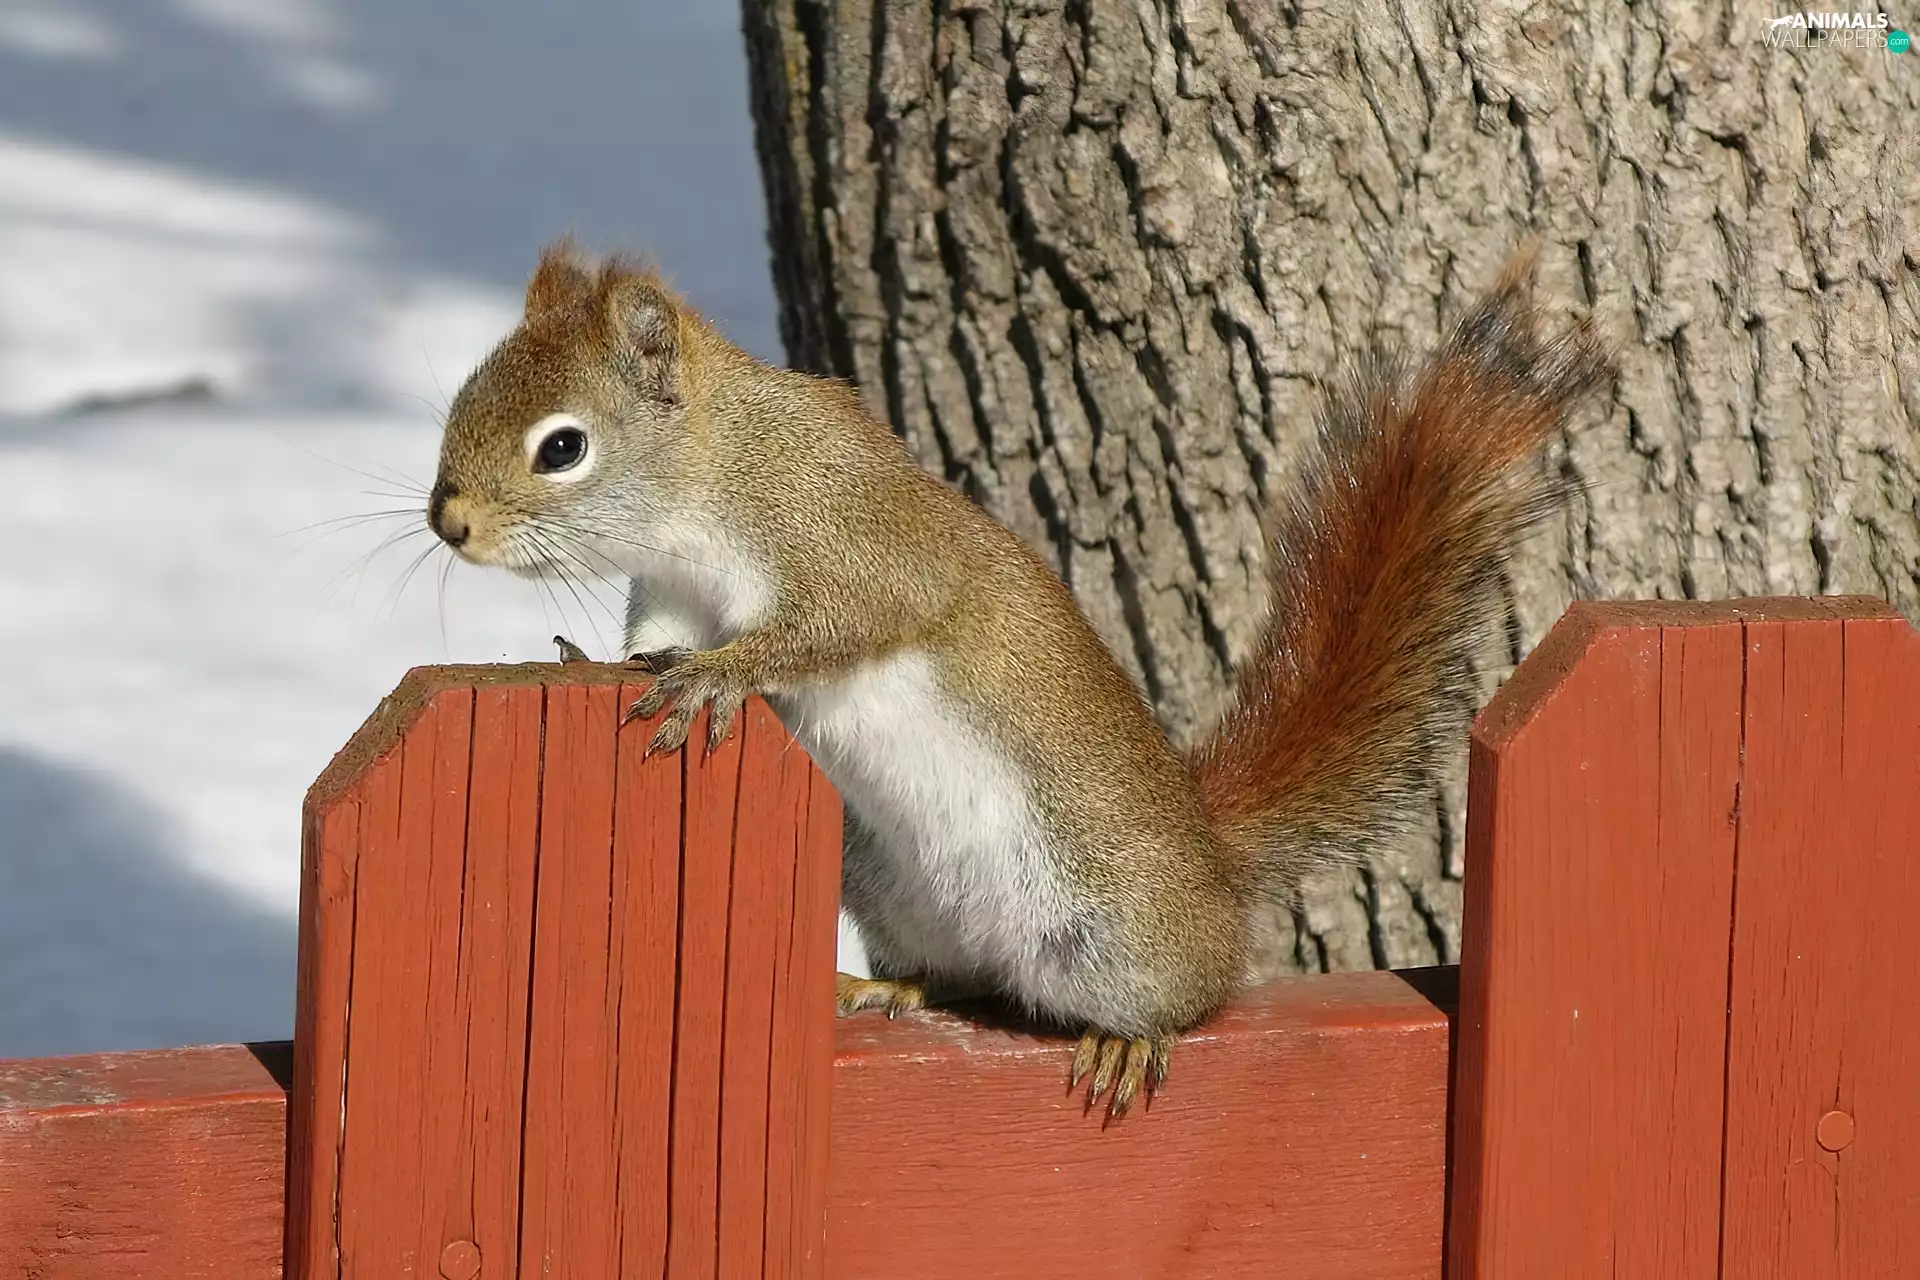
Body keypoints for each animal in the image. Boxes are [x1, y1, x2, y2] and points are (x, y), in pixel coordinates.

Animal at [427, 239, 1608, 1118]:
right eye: (462, 397)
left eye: (563, 447)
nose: (449, 524)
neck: (715, 474)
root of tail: (1211, 864)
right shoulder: (672, 589)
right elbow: (651, 638)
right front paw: (597, 660)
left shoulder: (855, 540)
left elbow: (839, 623)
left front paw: (721, 677)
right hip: (890, 883)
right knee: (964, 979)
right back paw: (884, 986)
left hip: (1118, 927)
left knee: (1197, 991)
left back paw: (1133, 1038)